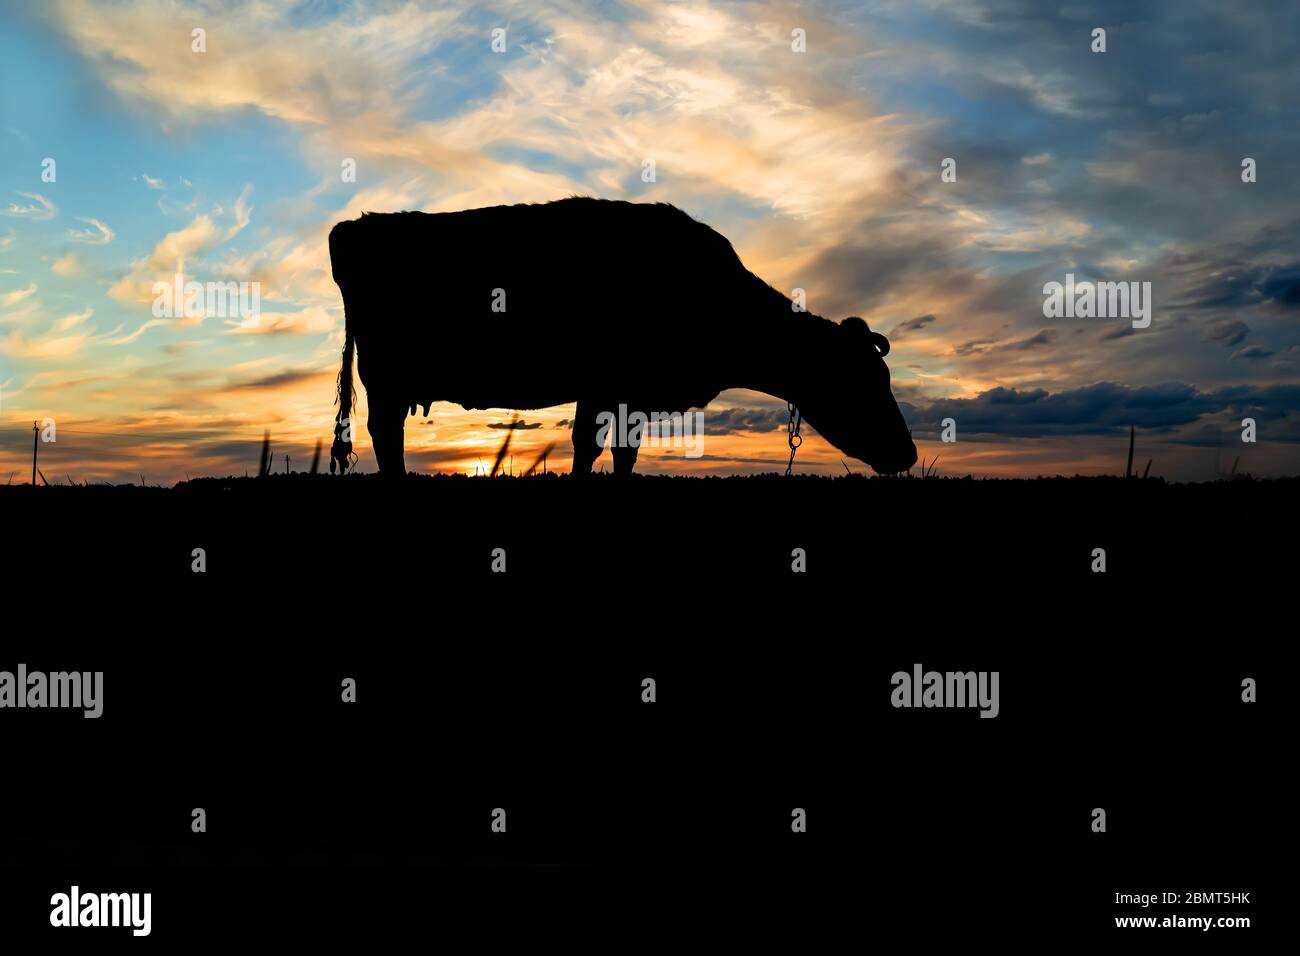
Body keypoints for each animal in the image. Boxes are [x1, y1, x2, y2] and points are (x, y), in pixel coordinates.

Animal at [327, 197, 917, 477]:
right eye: (862, 381)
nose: (909, 454)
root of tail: (355, 226)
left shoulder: (625, 395)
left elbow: (621, 453)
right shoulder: (606, 385)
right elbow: (588, 446)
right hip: (386, 377)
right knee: (385, 436)